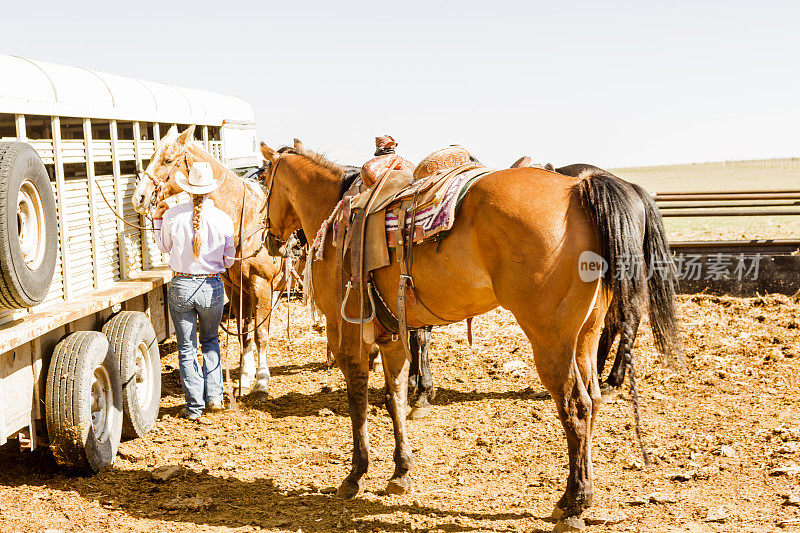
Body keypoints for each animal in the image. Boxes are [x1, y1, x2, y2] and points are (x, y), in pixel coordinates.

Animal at [131, 127, 282, 394]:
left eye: (167, 160)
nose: (140, 197)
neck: (246, 219)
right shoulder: (236, 289)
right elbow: (244, 333)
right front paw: (245, 377)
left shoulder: (262, 284)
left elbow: (261, 333)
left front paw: (262, 380)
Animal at [260, 139, 680, 520]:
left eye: (262, 178)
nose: (269, 238)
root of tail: (577, 190)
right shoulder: (392, 332)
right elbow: (395, 396)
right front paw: (401, 470)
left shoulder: (346, 330)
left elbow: (359, 400)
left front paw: (356, 475)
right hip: (585, 336)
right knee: (591, 399)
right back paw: (585, 487)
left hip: (551, 341)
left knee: (575, 406)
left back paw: (573, 500)